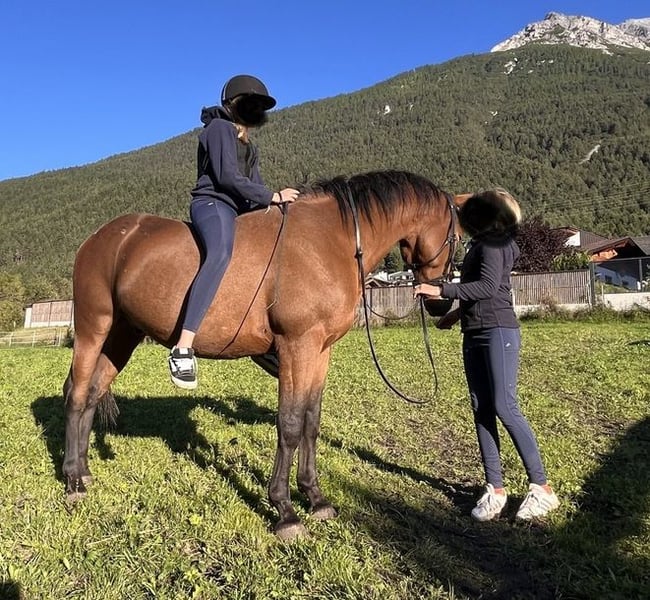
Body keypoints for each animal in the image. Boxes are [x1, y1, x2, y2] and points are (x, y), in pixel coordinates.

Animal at [63, 169, 461, 540]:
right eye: (456, 237)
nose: (440, 302)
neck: (333, 239)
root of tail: (102, 237)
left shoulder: (320, 351)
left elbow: (311, 421)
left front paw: (315, 498)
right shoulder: (296, 346)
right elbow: (290, 424)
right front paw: (284, 509)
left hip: (122, 335)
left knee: (93, 395)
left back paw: (84, 471)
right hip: (94, 327)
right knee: (77, 395)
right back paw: (72, 481)